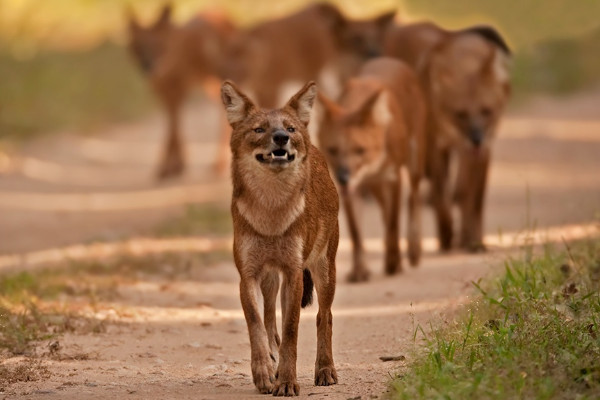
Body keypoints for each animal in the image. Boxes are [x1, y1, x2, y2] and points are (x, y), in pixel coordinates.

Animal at [221, 79, 342, 396]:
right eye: (259, 129)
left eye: (289, 128)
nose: (281, 138)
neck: (271, 214)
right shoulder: (249, 273)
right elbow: (257, 324)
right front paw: (264, 372)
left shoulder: (293, 272)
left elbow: (292, 330)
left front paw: (287, 381)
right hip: (270, 277)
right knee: (268, 318)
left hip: (325, 267)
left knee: (325, 316)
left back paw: (325, 370)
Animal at [318, 58, 426, 284]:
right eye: (333, 150)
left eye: (360, 150)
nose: (343, 177)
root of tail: (392, 60)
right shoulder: (352, 190)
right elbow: (357, 234)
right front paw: (359, 271)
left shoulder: (393, 177)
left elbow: (393, 223)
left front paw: (393, 264)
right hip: (376, 186)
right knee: (386, 210)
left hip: (414, 161)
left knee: (413, 198)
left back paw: (413, 250)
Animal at [384, 22, 510, 250]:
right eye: (460, 114)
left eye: (486, 111)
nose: (476, 138)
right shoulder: (436, 145)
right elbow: (442, 194)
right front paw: (447, 234)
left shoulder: (482, 150)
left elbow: (472, 199)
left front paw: (474, 240)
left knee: (462, 191)